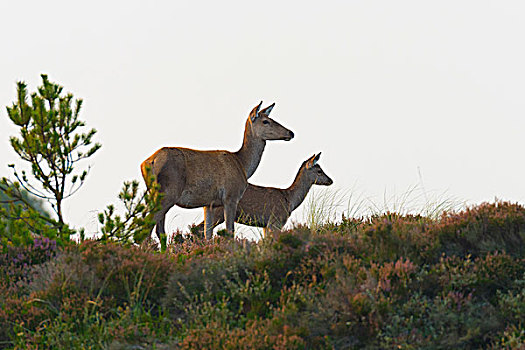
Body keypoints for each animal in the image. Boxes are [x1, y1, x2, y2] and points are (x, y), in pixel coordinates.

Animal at [141, 102, 292, 242]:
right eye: (266, 121)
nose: (290, 133)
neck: (242, 164)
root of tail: (149, 163)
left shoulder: (209, 204)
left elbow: (208, 234)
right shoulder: (231, 196)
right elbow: (230, 232)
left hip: (155, 193)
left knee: (158, 229)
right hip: (168, 192)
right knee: (147, 226)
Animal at [192, 152, 332, 237]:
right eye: (319, 171)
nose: (330, 180)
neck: (289, 200)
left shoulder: (265, 225)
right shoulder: (275, 221)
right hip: (219, 211)